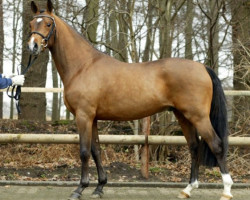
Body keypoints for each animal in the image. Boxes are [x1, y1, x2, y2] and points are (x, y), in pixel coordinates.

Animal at [26, 0, 232, 199]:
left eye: (48, 24)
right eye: (31, 24)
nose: (32, 46)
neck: (83, 66)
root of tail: (202, 67)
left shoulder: (83, 116)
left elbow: (84, 152)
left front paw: (79, 189)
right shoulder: (93, 119)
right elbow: (96, 150)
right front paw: (99, 187)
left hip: (198, 116)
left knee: (217, 145)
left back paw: (226, 191)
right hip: (183, 116)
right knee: (194, 147)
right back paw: (187, 190)